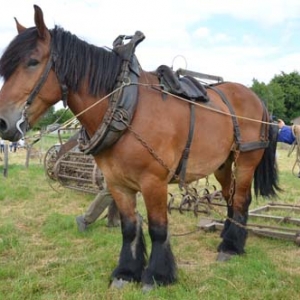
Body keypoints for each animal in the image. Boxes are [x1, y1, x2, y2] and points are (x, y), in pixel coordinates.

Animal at [0, 4, 280, 290]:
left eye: (33, 62)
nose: (3, 123)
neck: (126, 107)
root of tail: (255, 96)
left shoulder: (153, 181)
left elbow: (157, 228)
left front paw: (157, 275)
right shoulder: (117, 183)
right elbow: (129, 227)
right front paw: (126, 272)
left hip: (246, 159)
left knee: (242, 198)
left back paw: (231, 247)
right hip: (222, 163)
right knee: (230, 197)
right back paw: (227, 236)